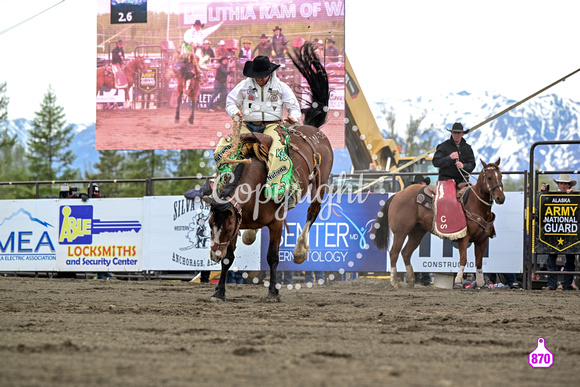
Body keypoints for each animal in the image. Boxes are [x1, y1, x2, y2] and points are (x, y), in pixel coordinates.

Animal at [203, 43, 334, 304]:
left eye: (226, 227)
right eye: (210, 224)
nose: (213, 255)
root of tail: (313, 130)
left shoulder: (276, 223)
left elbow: (273, 257)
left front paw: (273, 292)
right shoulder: (237, 218)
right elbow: (229, 259)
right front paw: (219, 292)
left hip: (320, 185)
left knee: (312, 212)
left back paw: (300, 251)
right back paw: (251, 234)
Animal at [374, 159, 506, 290]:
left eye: (500, 176)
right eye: (489, 177)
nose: (500, 198)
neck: (475, 204)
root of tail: (397, 194)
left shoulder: (482, 240)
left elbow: (479, 262)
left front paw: (480, 283)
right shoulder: (464, 237)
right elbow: (463, 259)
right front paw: (458, 282)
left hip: (417, 232)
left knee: (406, 252)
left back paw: (411, 281)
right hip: (400, 232)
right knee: (394, 253)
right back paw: (394, 281)